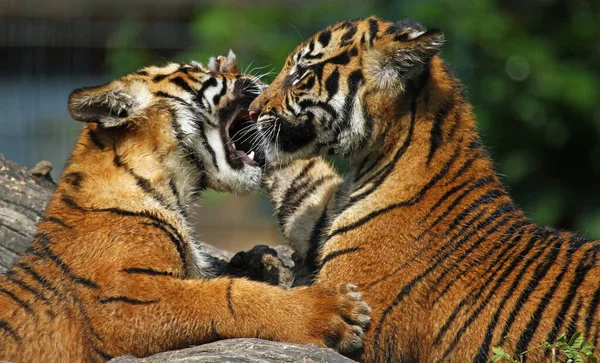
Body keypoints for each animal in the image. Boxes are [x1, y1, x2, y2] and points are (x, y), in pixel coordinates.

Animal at [0, 52, 370, 363]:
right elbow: (229, 296)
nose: (237, 66)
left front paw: (262, 262)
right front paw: (333, 311)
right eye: (204, 71)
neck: (168, 184)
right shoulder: (127, 304)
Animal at [246, 17, 600, 363]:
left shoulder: (361, 316)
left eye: (301, 73)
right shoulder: (318, 213)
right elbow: (298, 179)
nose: (252, 110)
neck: (372, 161)